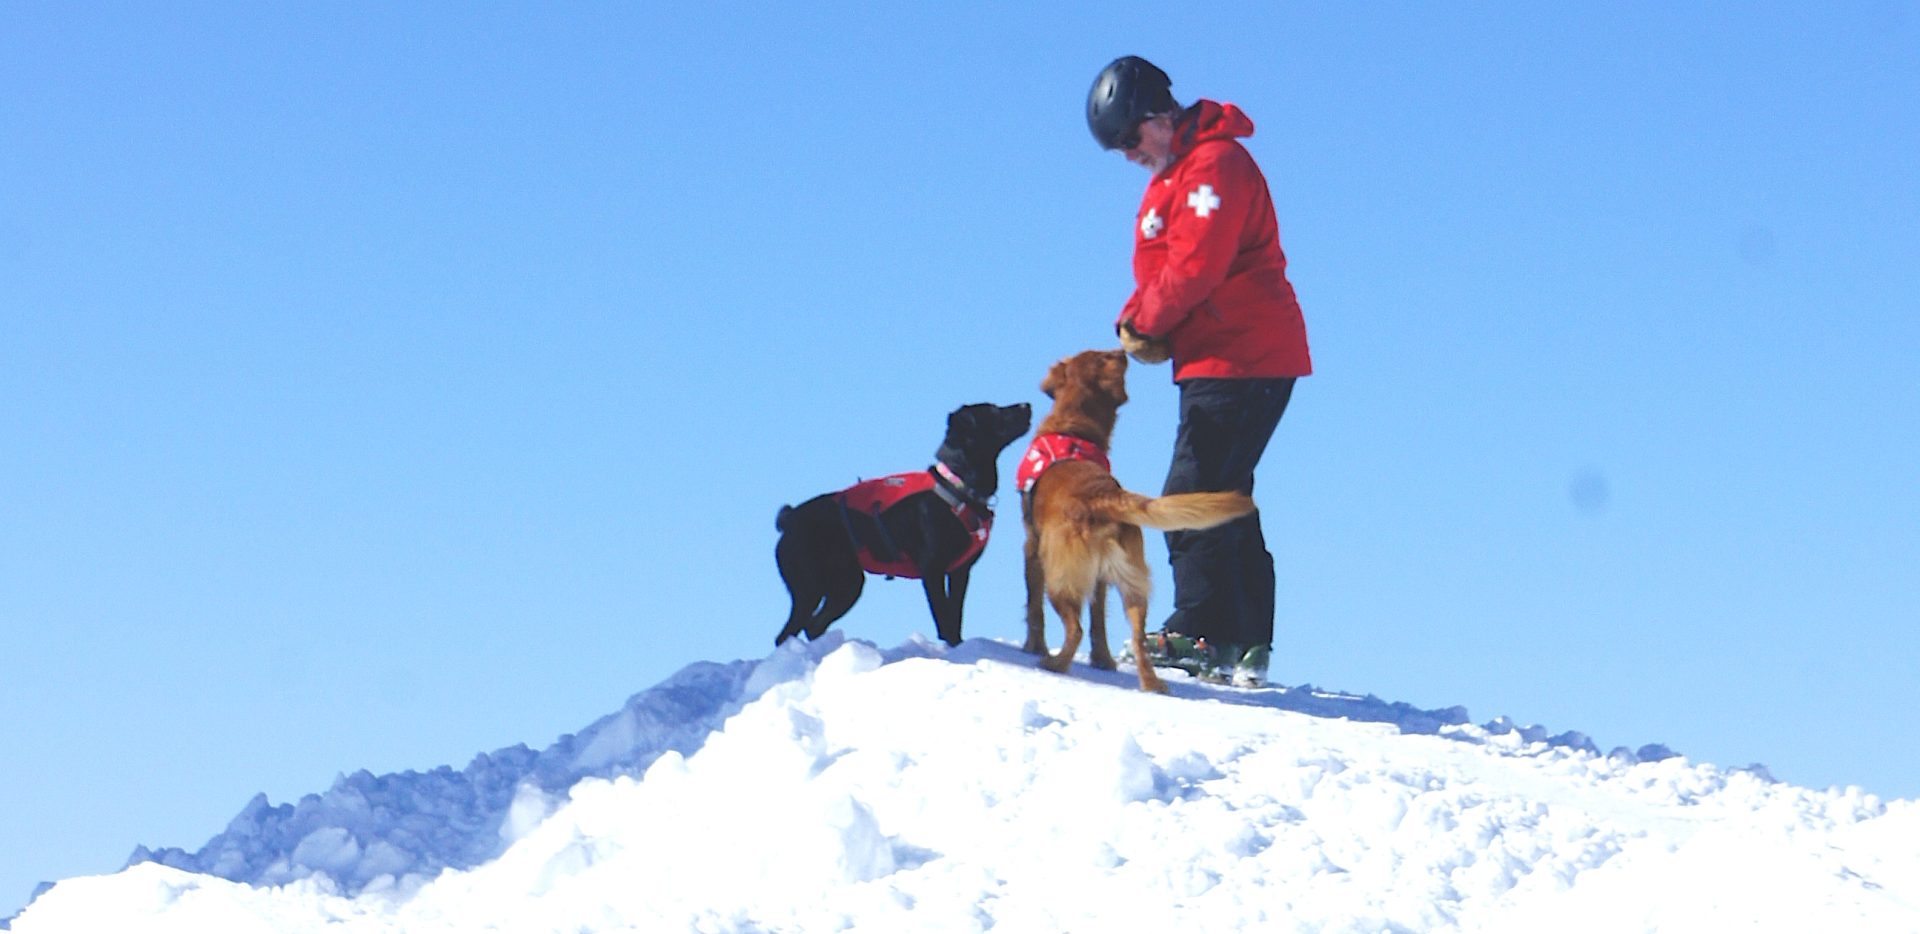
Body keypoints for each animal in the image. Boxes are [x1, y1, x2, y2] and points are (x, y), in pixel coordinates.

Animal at [771, 401, 1036, 649]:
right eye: (992, 411)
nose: (1027, 405)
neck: (957, 486)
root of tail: (789, 519)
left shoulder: (961, 571)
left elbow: (956, 616)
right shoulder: (933, 570)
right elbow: (945, 619)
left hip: (846, 585)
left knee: (813, 625)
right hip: (811, 588)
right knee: (786, 634)